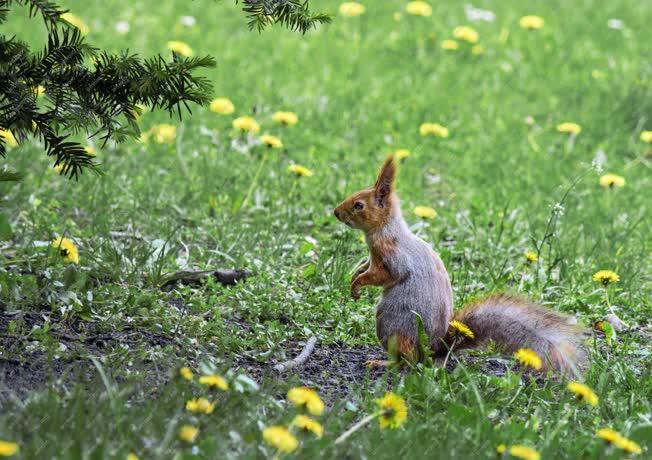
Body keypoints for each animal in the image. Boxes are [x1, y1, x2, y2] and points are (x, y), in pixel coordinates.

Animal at [334, 156, 588, 372]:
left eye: (359, 205)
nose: (336, 213)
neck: (385, 230)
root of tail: (432, 351)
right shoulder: (373, 256)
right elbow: (365, 266)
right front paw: (354, 277)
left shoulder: (391, 257)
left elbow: (381, 276)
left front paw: (357, 285)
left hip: (393, 328)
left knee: (407, 361)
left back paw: (383, 363)